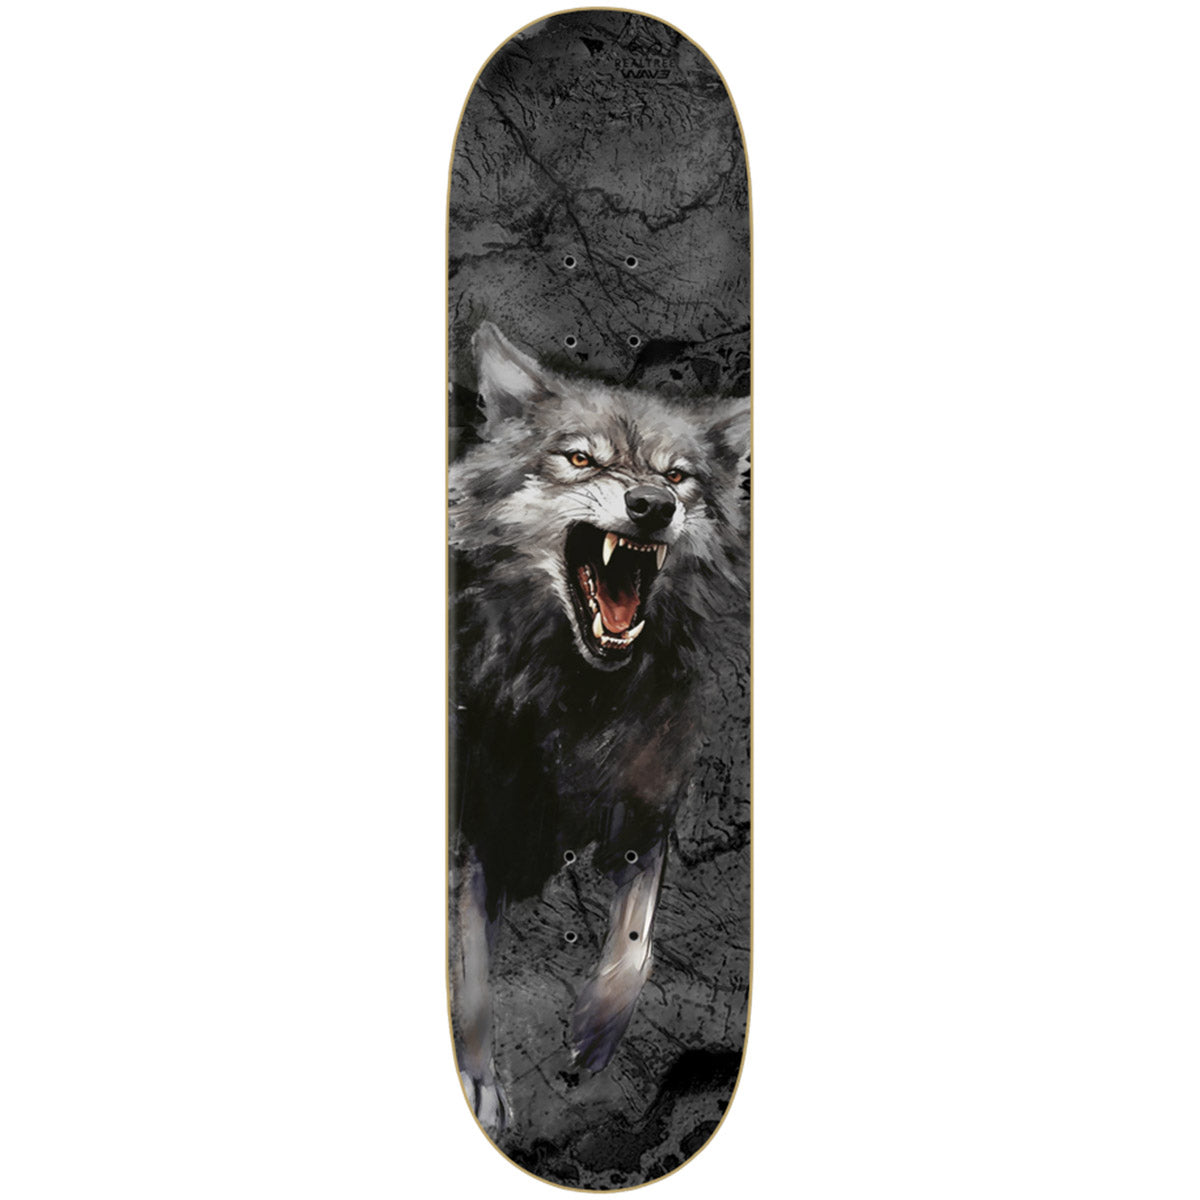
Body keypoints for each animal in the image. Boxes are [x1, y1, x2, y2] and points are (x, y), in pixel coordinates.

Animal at [448, 322, 749, 1134]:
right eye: (580, 458)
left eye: (677, 476)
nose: (650, 503)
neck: (581, 702)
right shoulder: (476, 832)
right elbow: (472, 974)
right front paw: (480, 1088)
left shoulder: (647, 813)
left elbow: (637, 945)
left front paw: (593, 1034)